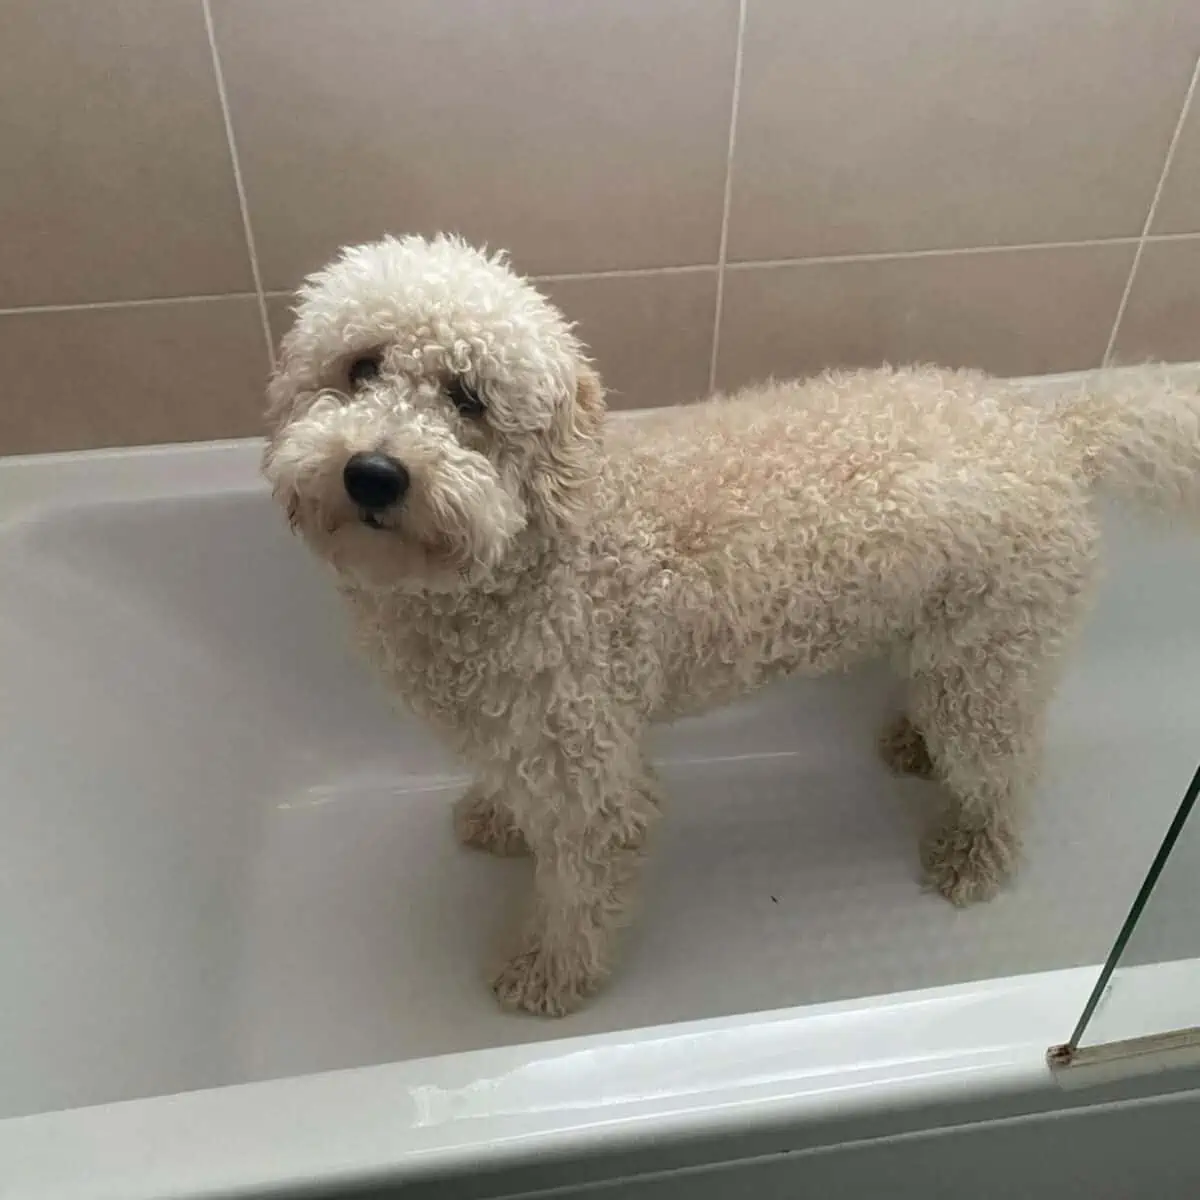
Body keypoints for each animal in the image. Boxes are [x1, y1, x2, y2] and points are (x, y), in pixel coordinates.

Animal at [267, 231, 1200, 1012]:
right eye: (360, 367)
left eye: (469, 397)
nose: (374, 472)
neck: (530, 551)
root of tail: (1054, 428)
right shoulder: (520, 730)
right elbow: (513, 792)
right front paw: (500, 820)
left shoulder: (590, 770)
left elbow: (580, 890)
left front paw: (548, 975)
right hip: (952, 645)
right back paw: (911, 742)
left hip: (993, 666)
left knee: (1008, 772)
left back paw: (977, 853)